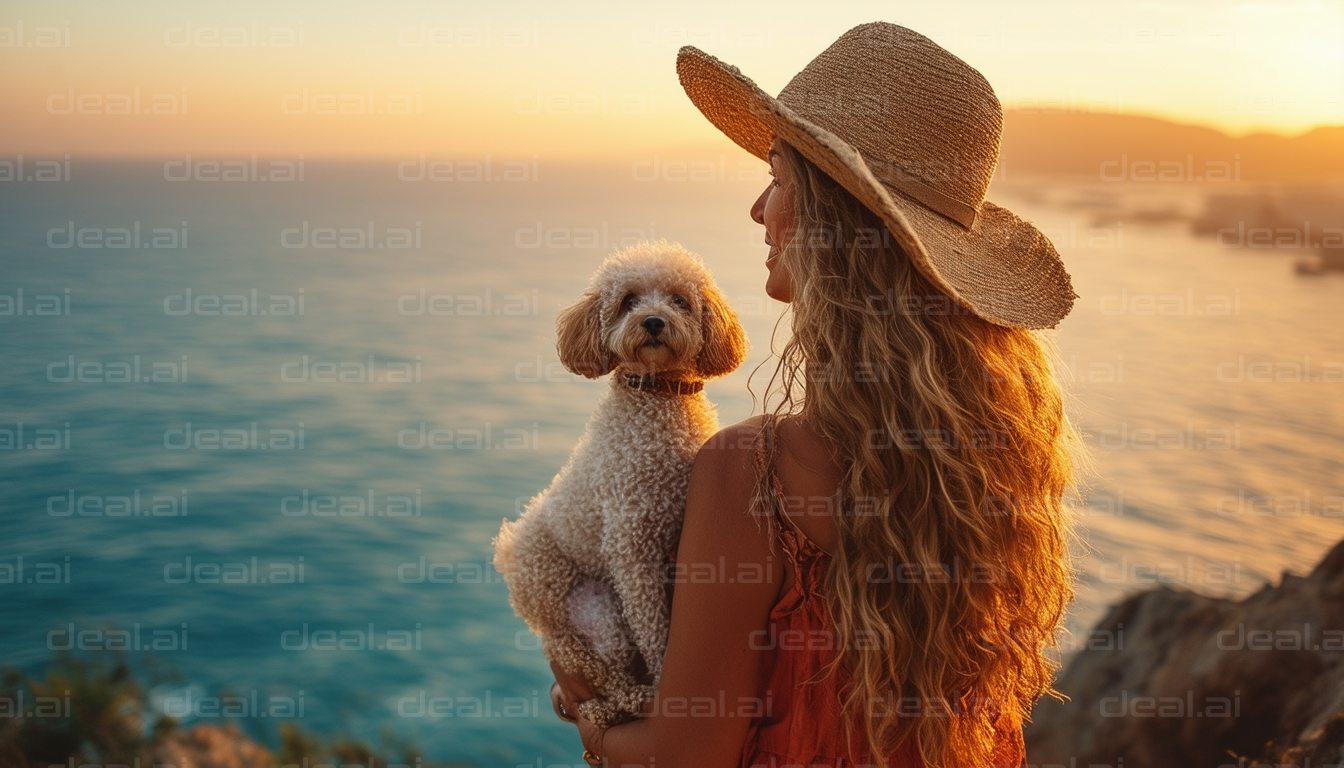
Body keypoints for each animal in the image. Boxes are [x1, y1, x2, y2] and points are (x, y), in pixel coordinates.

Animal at [491, 239, 752, 726]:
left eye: (680, 300)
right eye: (629, 300)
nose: (652, 321)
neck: (659, 398)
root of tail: (509, 554)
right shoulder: (633, 548)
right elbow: (654, 629)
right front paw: (664, 672)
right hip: (589, 613)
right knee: (588, 663)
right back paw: (620, 703)